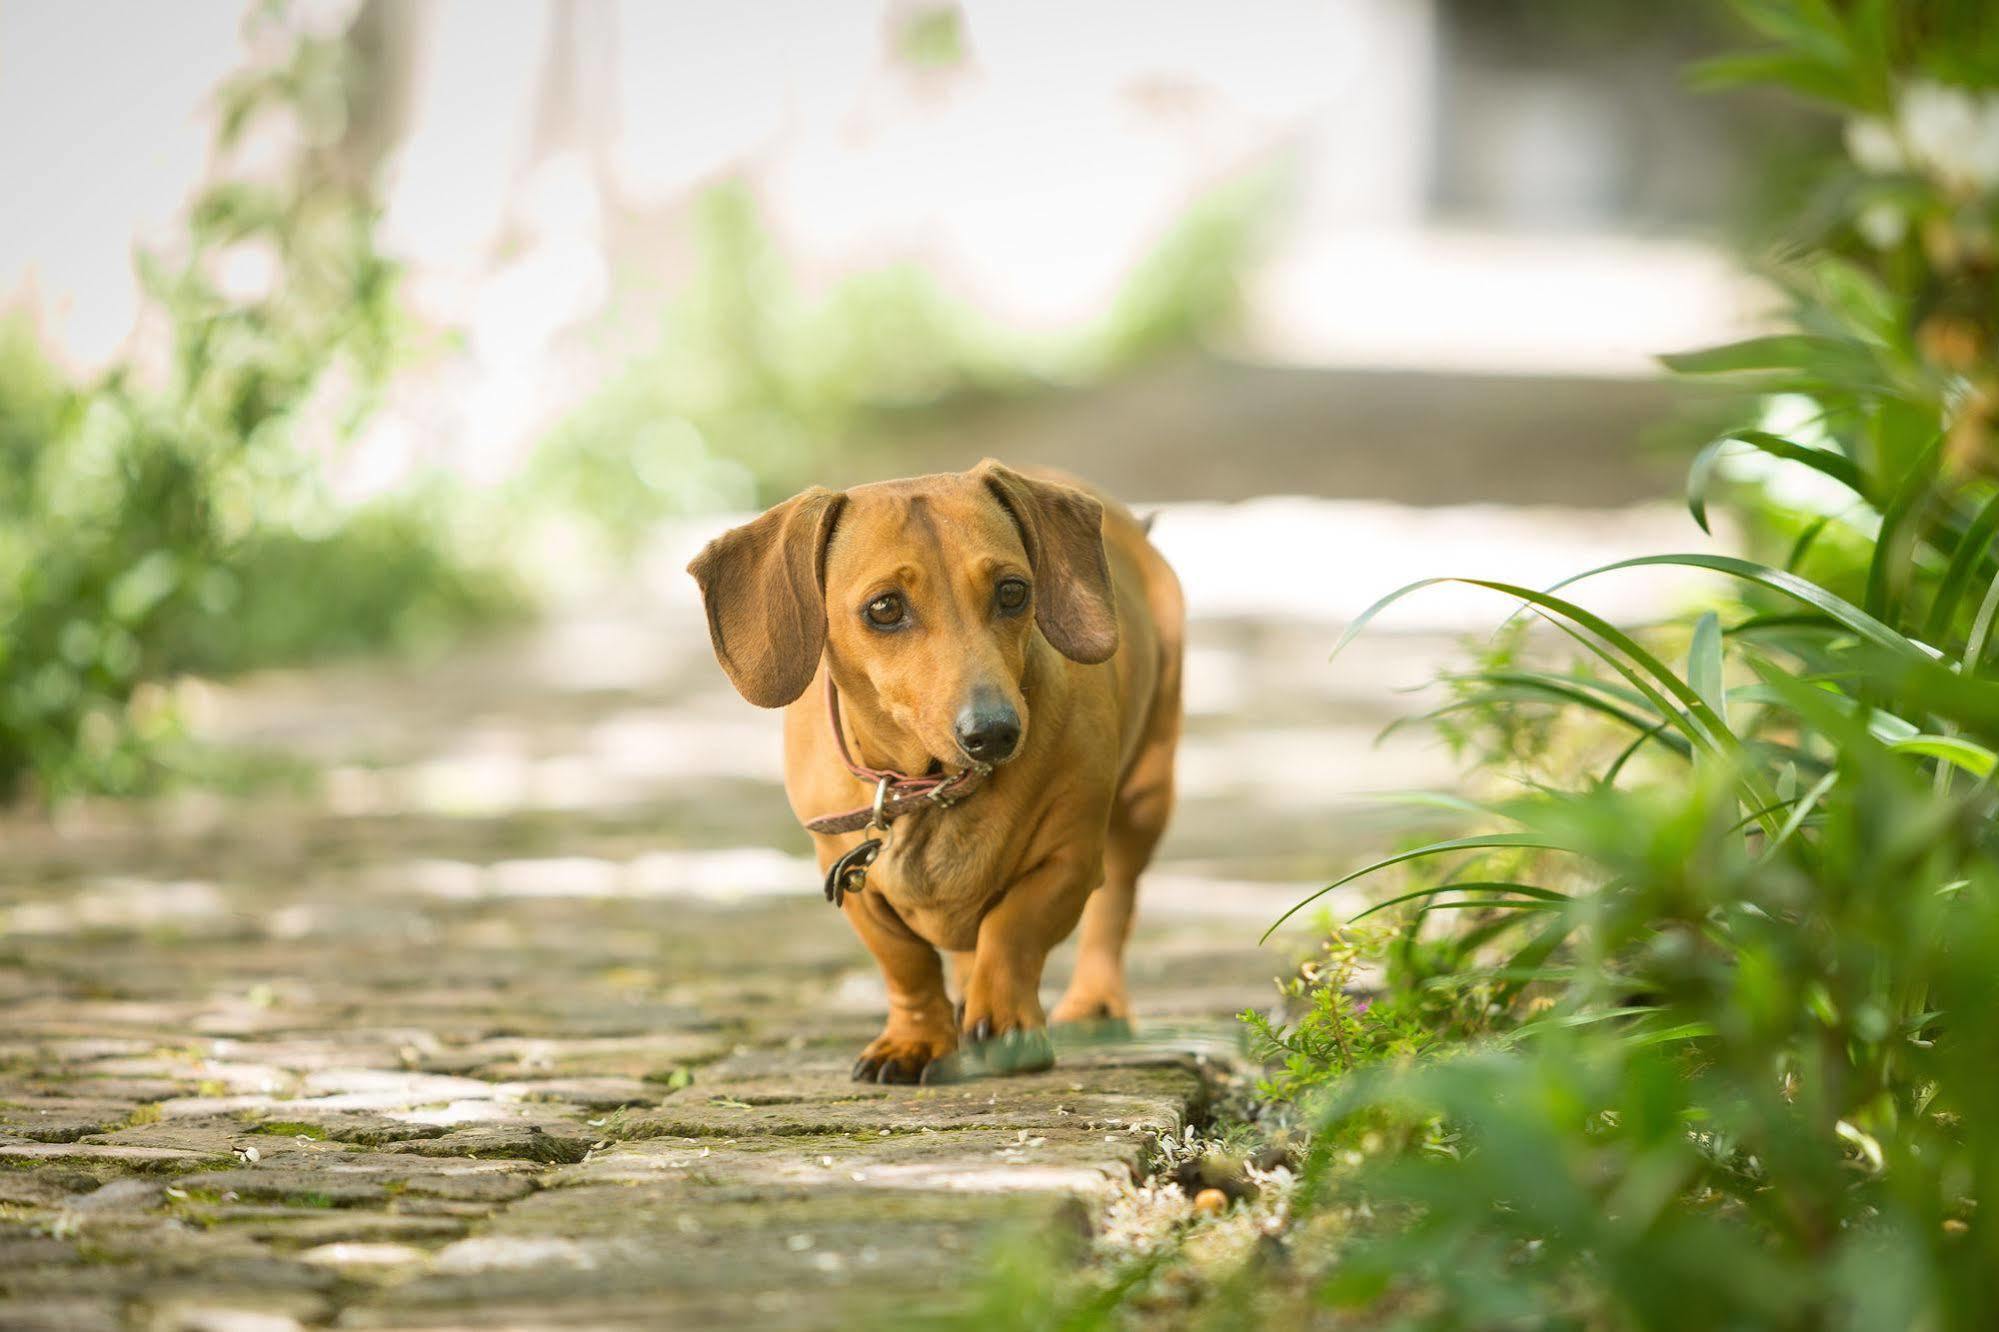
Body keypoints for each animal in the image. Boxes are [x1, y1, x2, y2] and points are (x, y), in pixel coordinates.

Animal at [695, 460, 1175, 1080]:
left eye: (1014, 591)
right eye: (884, 608)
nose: (993, 732)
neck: (935, 786)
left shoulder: (1067, 861)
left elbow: (1013, 931)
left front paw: (1007, 1025)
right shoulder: (848, 875)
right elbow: (907, 963)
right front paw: (915, 1040)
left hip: (1146, 795)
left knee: (1115, 900)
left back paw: (1094, 1002)